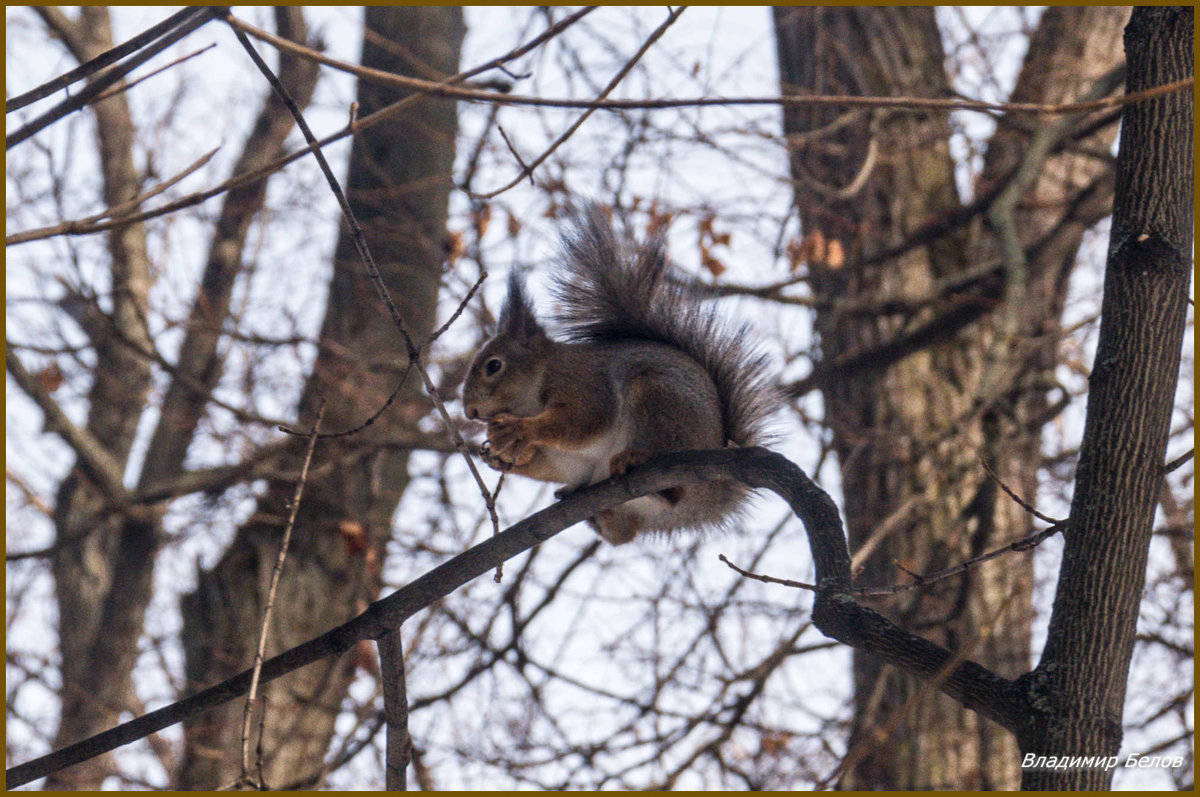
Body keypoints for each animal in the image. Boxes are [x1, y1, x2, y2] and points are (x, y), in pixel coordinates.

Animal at [458, 202, 777, 544]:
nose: (469, 412)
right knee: (623, 534)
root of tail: (716, 496)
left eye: (494, 366)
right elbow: (551, 464)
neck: (534, 392)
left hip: (660, 401)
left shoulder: (582, 382)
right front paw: (499, 457)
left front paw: (520, 430)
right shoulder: (564, 458)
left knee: (674, 487)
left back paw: (637, 462)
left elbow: (584, 419)